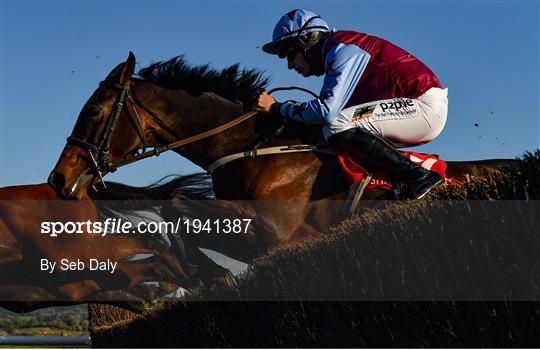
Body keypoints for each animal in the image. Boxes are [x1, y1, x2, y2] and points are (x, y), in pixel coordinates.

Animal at [47, 52, 516, 286]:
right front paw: (202, 271)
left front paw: (199, 269)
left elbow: (177, 203)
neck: (254, 147)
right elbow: (178, 213)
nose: (59, 179)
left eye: (92, 111)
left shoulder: (273, 235)